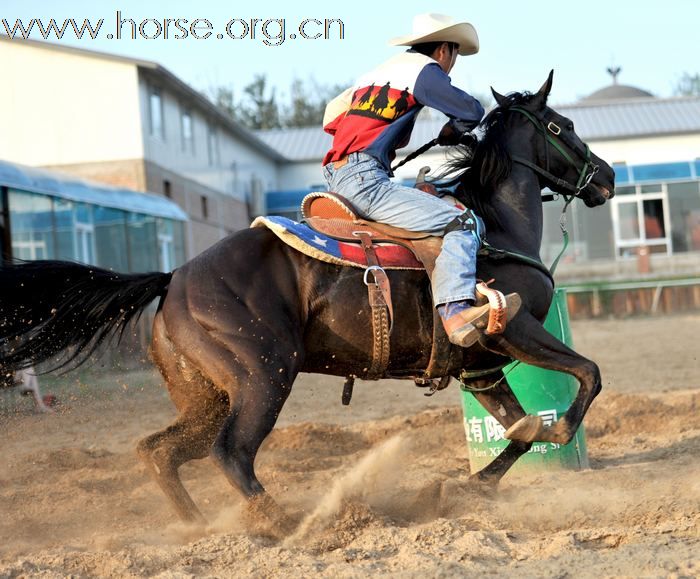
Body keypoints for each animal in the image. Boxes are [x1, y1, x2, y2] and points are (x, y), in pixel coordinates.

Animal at [0, 71, 612, 524]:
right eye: (561, 124)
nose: (605, 176)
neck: (493, 226)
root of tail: (174, 277)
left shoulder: (479, 368)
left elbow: (520, 430)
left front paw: (470, 485)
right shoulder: (514, 329)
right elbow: (587, 374)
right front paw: (558, 432)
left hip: (205, 394)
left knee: (161, 452)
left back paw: (200, 529)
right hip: (263, 377)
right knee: (231, 453)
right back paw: (283, 525)